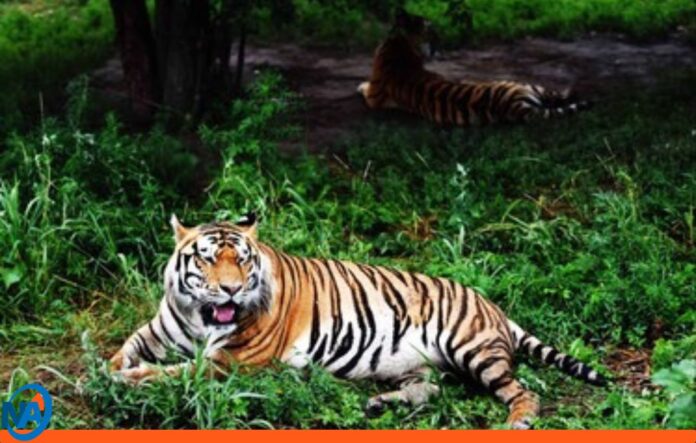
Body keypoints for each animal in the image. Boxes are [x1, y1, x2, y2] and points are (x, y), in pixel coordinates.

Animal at [110, 213, 607, 429]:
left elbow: (174, 373)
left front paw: (126, 380)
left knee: (523, 392)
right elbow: (127, 347)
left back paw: (517, 422)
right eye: (208, 259)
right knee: (429, 390)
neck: (200, 316)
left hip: (473, 349)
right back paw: (379, 406)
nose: (231, 289)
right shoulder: (159, 329)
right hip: (416, 364)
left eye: (243, 260)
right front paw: (111, 368)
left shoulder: (232, 361)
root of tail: (492, 305)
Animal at [358, 10, 589, 126]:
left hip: (524, 85)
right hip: (526, 85)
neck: (400, 44)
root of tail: (519, 106)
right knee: (560, 94)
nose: (442, 47)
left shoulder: (374, 97)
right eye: (434, 35)